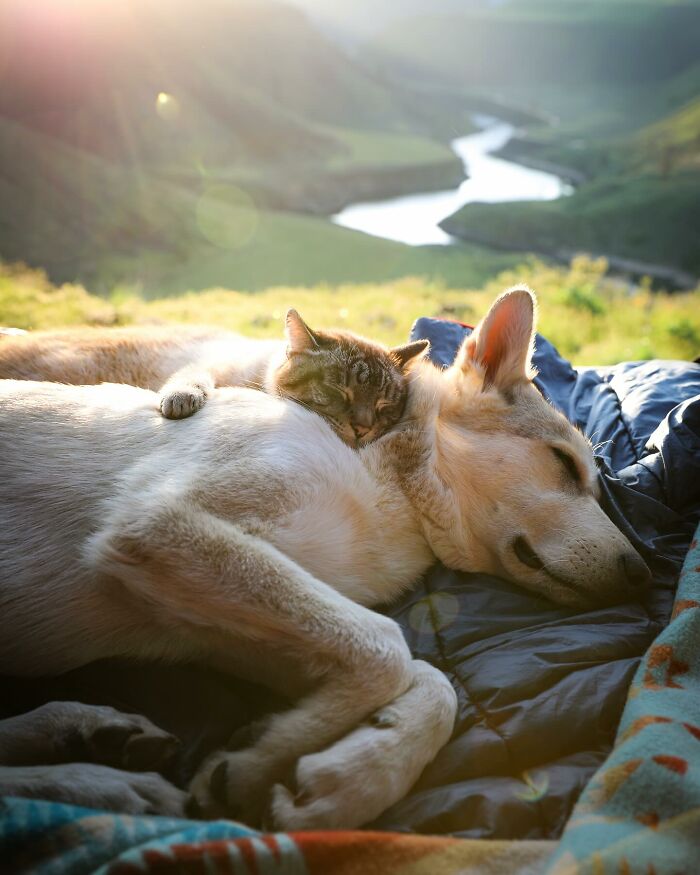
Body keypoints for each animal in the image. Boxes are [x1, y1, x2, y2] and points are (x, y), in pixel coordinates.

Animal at [0, 290, 652, 832]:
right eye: (564, 465)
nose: (645, 574)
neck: (390, 480)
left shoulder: (209, 628)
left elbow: (432, 681)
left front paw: (346, 781)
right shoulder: (159, 525)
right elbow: (389, 648)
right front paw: (264, 758)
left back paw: (92, 749)